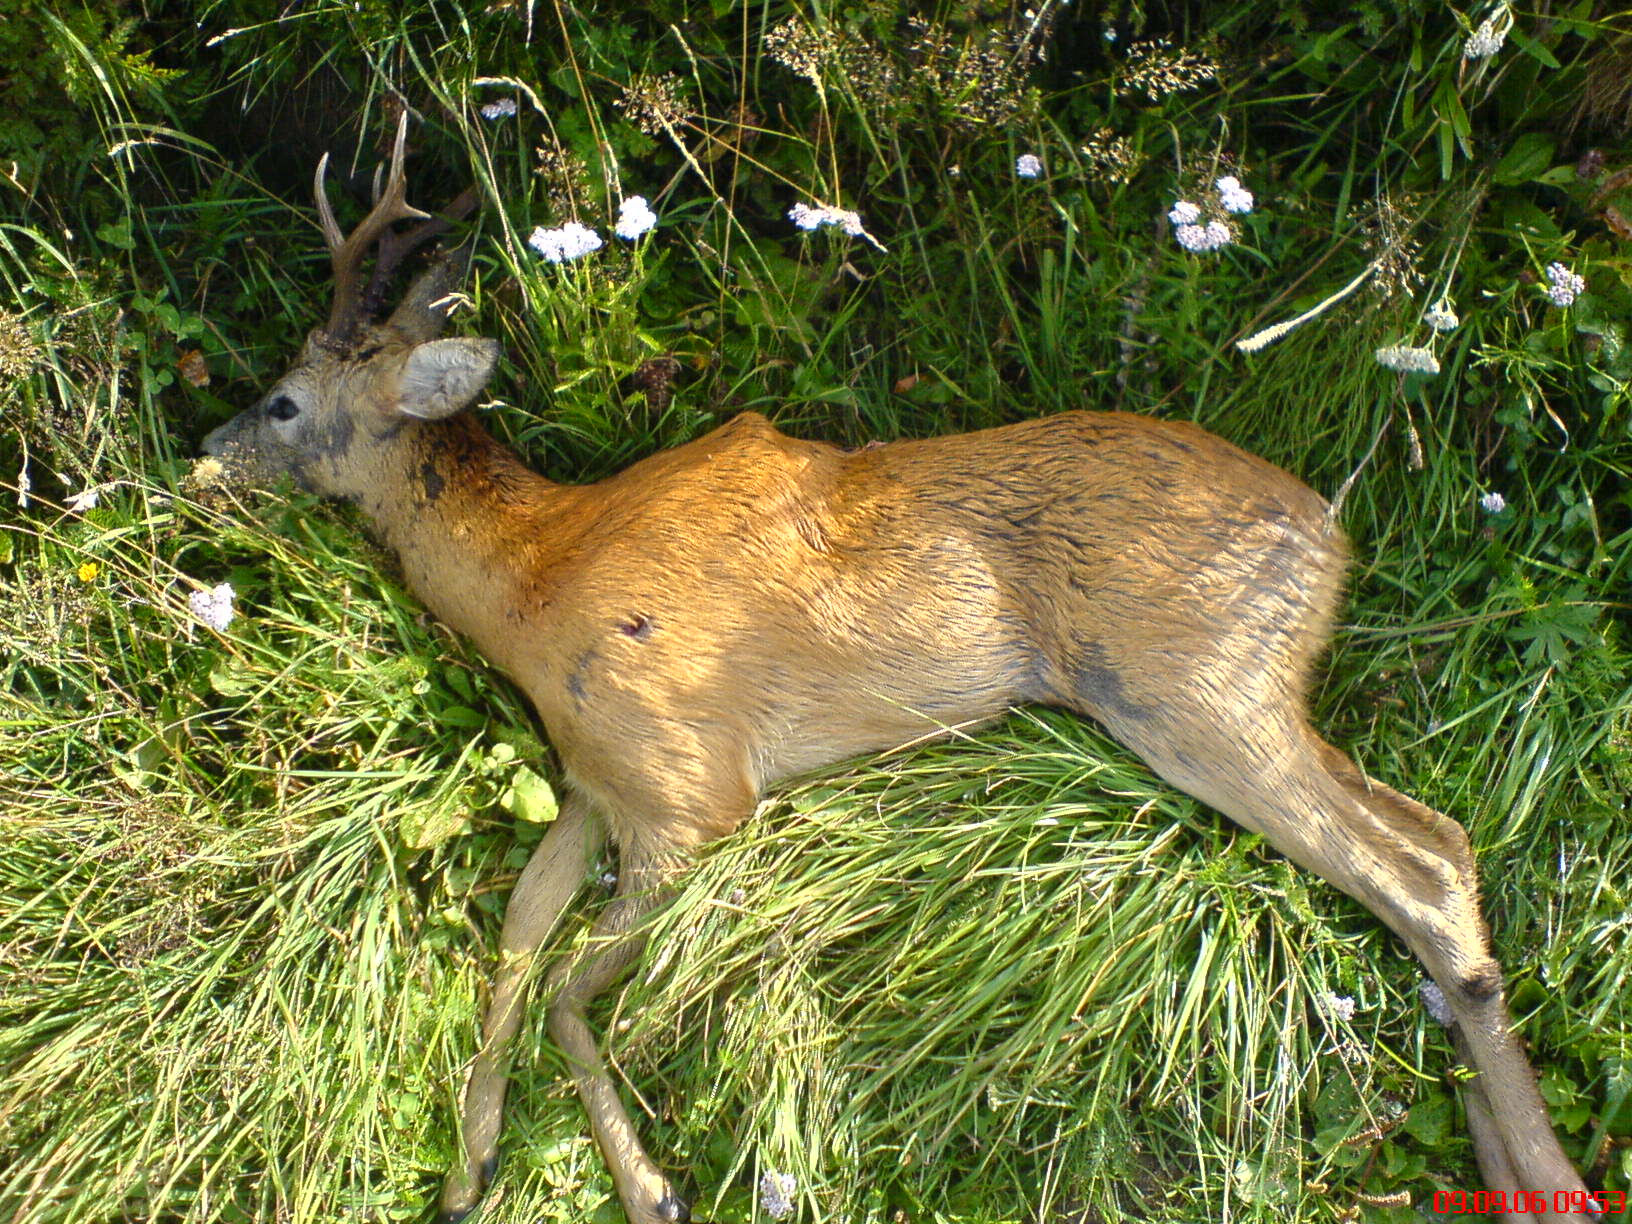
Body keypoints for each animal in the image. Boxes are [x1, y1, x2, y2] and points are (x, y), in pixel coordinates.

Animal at [200, 117, 1592, 1224]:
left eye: (282, 401)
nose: (206, 455)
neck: (535, 579)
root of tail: (1332, 535)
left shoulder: (691, 789)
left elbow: (563, 995)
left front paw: (651, 1188)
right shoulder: (595, 782)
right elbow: (510, 950)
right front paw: (469, 1171)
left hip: (1189, 682)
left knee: (1417, 876)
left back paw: (1546, 1181)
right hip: (1237, 690)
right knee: (1439, 837)